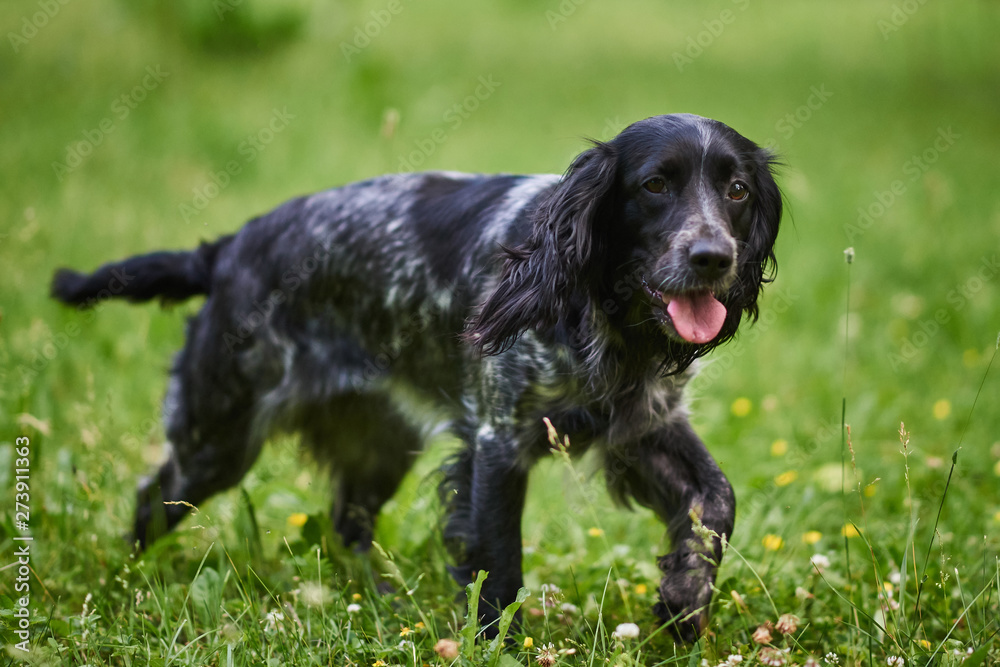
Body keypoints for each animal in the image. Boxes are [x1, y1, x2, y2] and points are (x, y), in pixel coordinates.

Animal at [52, 115, 780, 640]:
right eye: (656, 185)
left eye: (737, 190)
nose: (712, 257)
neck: (601, 314)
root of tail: (227, 248)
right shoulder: (498, 441)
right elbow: (499, 566)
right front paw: (497, 645)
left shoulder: (642, 427)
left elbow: (717, 501)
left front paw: (683, 603)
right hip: (218, 434)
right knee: (153, 497)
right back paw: (129, 582)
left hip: (379, 443)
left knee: (345, 520)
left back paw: (380, 598)